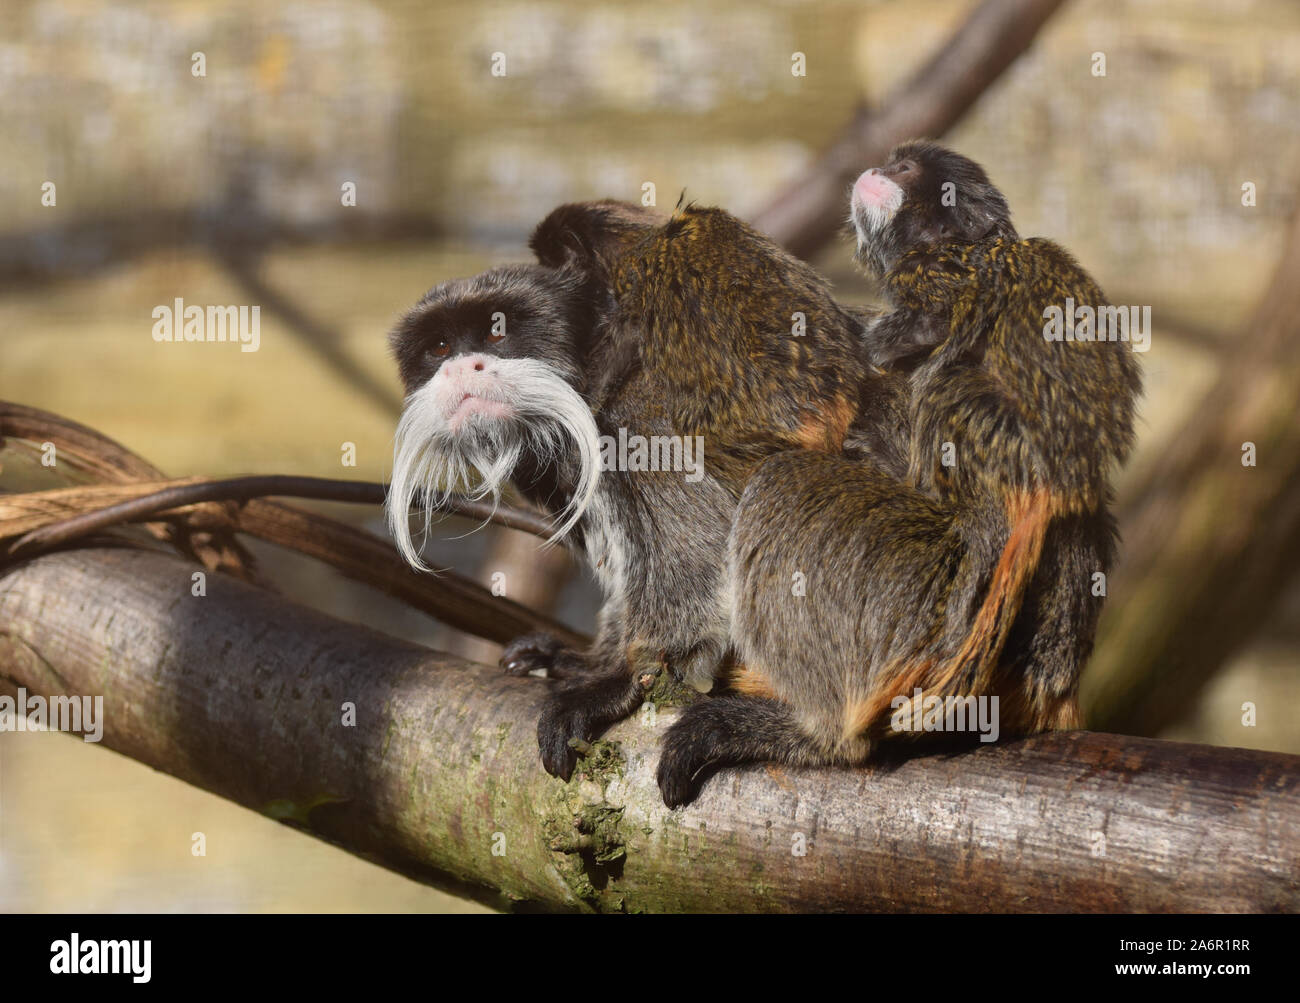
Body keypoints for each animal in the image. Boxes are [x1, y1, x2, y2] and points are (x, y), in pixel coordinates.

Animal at [382, 201, 873, 784]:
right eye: (439, 347)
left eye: (497, 334)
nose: (463, 367)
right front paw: (591, 662)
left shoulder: (637, 417)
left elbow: (699, 560)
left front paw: (616, 684)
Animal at [660, 142, 1138, 805]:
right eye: (891, 160)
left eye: (906, 170)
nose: (874, 169)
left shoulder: (942, 277)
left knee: (800, 476)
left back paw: (816, 734)